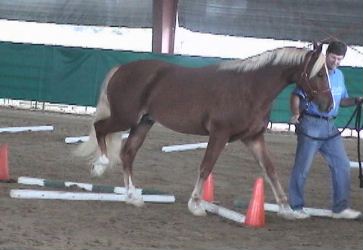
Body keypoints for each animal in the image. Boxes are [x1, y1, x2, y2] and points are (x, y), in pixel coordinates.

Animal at [75, 44, 334, 219]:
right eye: (320, 73)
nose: (328, 105)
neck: (250, 89)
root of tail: (122, 69)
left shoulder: (253, 138)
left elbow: (270, 170)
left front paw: (287, 209)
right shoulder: (219, 135)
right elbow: (206, 166)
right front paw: (196, 205)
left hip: (143, 123)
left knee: (127, 154)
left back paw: (133, 196)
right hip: (125, 119)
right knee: (100, 129)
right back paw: (100, 165)